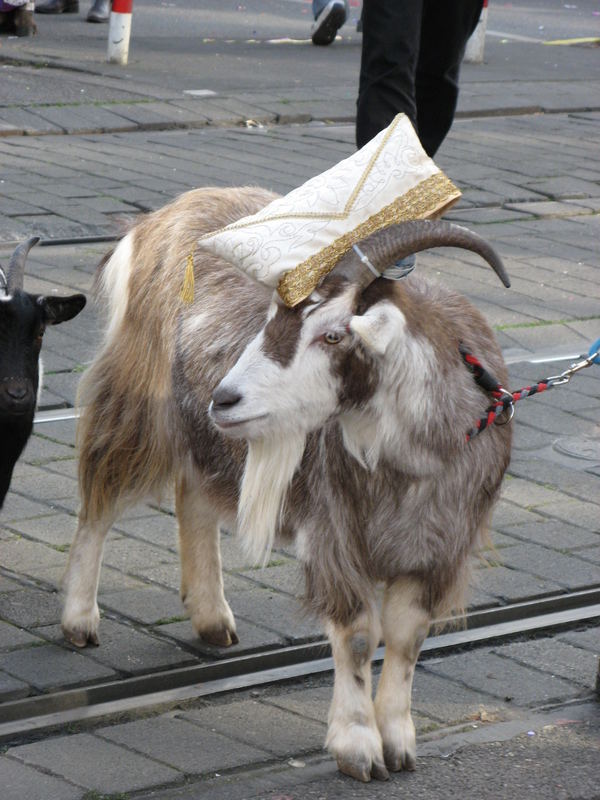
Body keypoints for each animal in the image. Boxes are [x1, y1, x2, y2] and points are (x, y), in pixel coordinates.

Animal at [62, 186, 510, 780]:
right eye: (272, 316)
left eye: (334, 334)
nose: (226, 398)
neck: (405, 466)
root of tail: (162, 215)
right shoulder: (333, 529)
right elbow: (358, 634)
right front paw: (358, 747)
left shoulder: (440, 548)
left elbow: (407, 637)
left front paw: (398, 742)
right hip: (139, 399)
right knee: (101, 496)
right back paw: (79, 621)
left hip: (206, 434)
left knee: (193, 497)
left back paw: (211, 618)